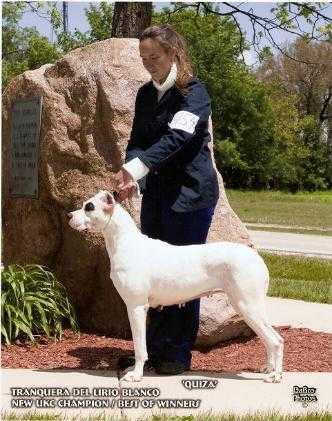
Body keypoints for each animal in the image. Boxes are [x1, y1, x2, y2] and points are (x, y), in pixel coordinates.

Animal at [68, 192, 284, 382]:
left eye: (89, 207)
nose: (69, 215)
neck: (125, 243)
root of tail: (257, 258)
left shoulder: (136, 307)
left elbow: (140, 347)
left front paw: (136, 375)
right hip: (249, 307)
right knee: (268, 341)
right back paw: (268, 368)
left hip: (247, 306)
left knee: (276, 340)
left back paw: (275, 376)